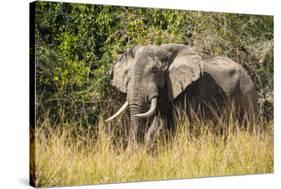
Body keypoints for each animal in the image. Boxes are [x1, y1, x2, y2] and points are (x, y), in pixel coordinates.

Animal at [104, 43, 258, 145]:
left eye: (154, 70)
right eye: (128, 73)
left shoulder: (188, 91)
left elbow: (181, 125)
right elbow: (158, 125)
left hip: (247, 91)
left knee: (251, 125)